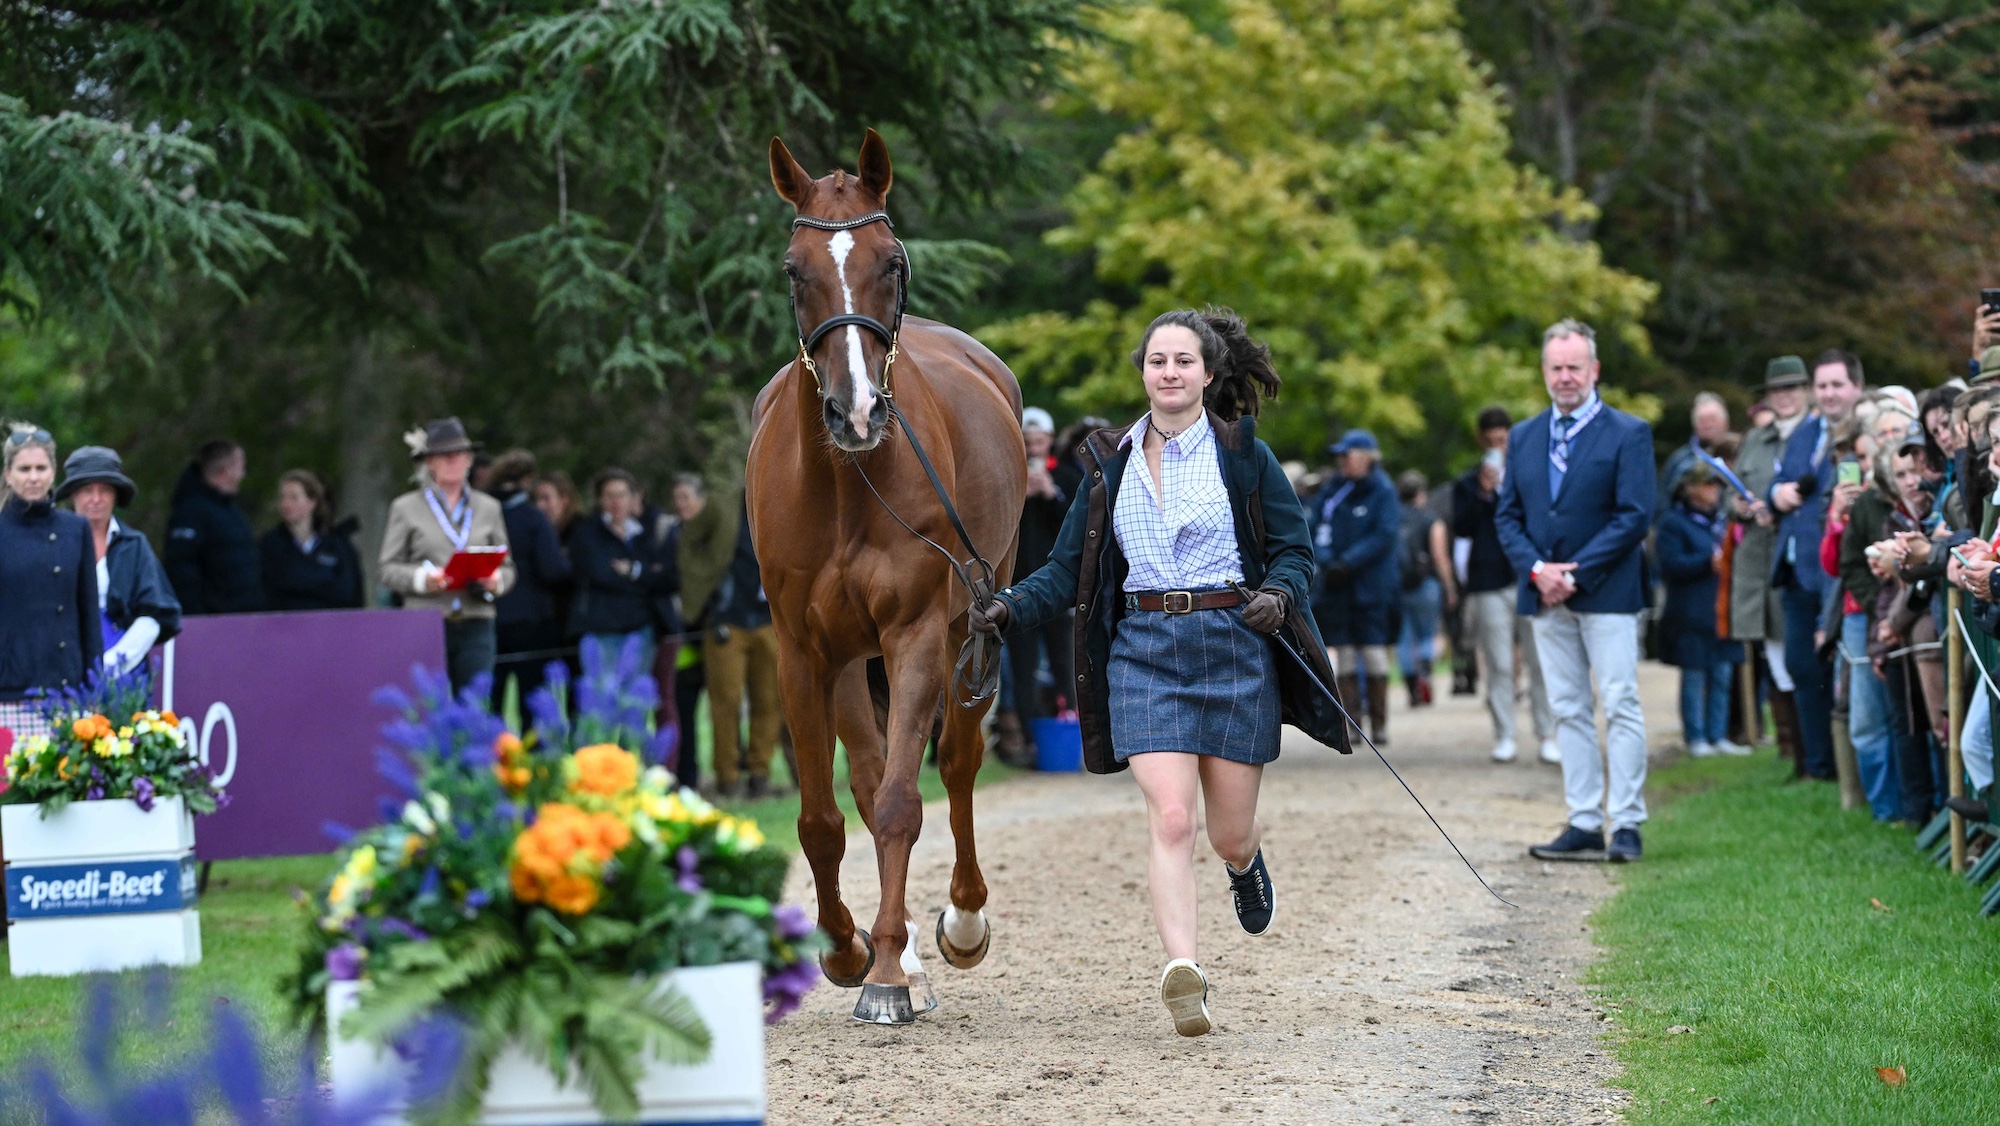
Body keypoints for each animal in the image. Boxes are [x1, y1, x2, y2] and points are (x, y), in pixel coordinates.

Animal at [746, 129, 1027, 1025]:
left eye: (892, 263)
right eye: (793, 269)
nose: (858, 410)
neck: (845, 487)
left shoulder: (917, 637)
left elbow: (908, 800)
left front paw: (887, 977)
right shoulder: (803, 651)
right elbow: (823, 818)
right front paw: (847, 949)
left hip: (972, 625)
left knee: (958, 762)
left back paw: (956, 925)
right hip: (846, 657)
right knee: (866, 788)